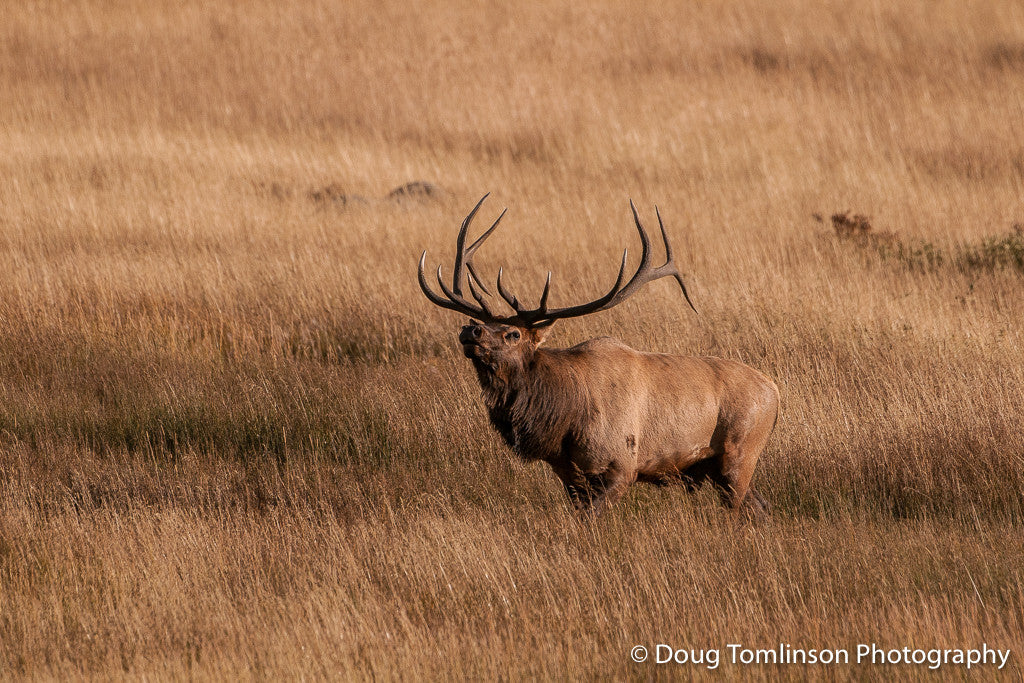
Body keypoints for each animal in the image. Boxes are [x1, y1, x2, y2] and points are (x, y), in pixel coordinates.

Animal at [418, 195, 780, 515]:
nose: (470, 331)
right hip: (718, 467)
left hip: (741, 451)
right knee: (760, 506)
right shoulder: (568, 474)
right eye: (480, 325)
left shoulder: (622, 465)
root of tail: (775, 393)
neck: (565, 419)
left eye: (513, 333)